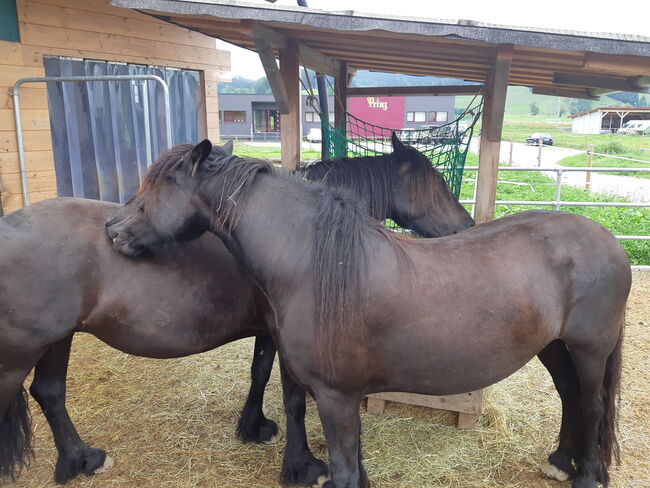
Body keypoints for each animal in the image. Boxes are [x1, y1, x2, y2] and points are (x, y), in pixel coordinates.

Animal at [0, 136, 468, 484]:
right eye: (437, 185)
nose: (465, 226)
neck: (297, 239)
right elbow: (293, 398)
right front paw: (300, 466)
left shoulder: (266, 331)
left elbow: (258, 373)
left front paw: (253, 426)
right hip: (22, 352)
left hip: (57, 338)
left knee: (50, 393)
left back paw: (81, 460)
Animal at [109, 138, 632, 488]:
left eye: (161, 184)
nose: (113, 229)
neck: (315, 266)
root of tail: (607, 240)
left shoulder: (336, 397)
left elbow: (342, 469)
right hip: (555, 346)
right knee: (570, 396)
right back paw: (560, 462)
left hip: (589, 349)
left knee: (592, 404)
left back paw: (587, 475)